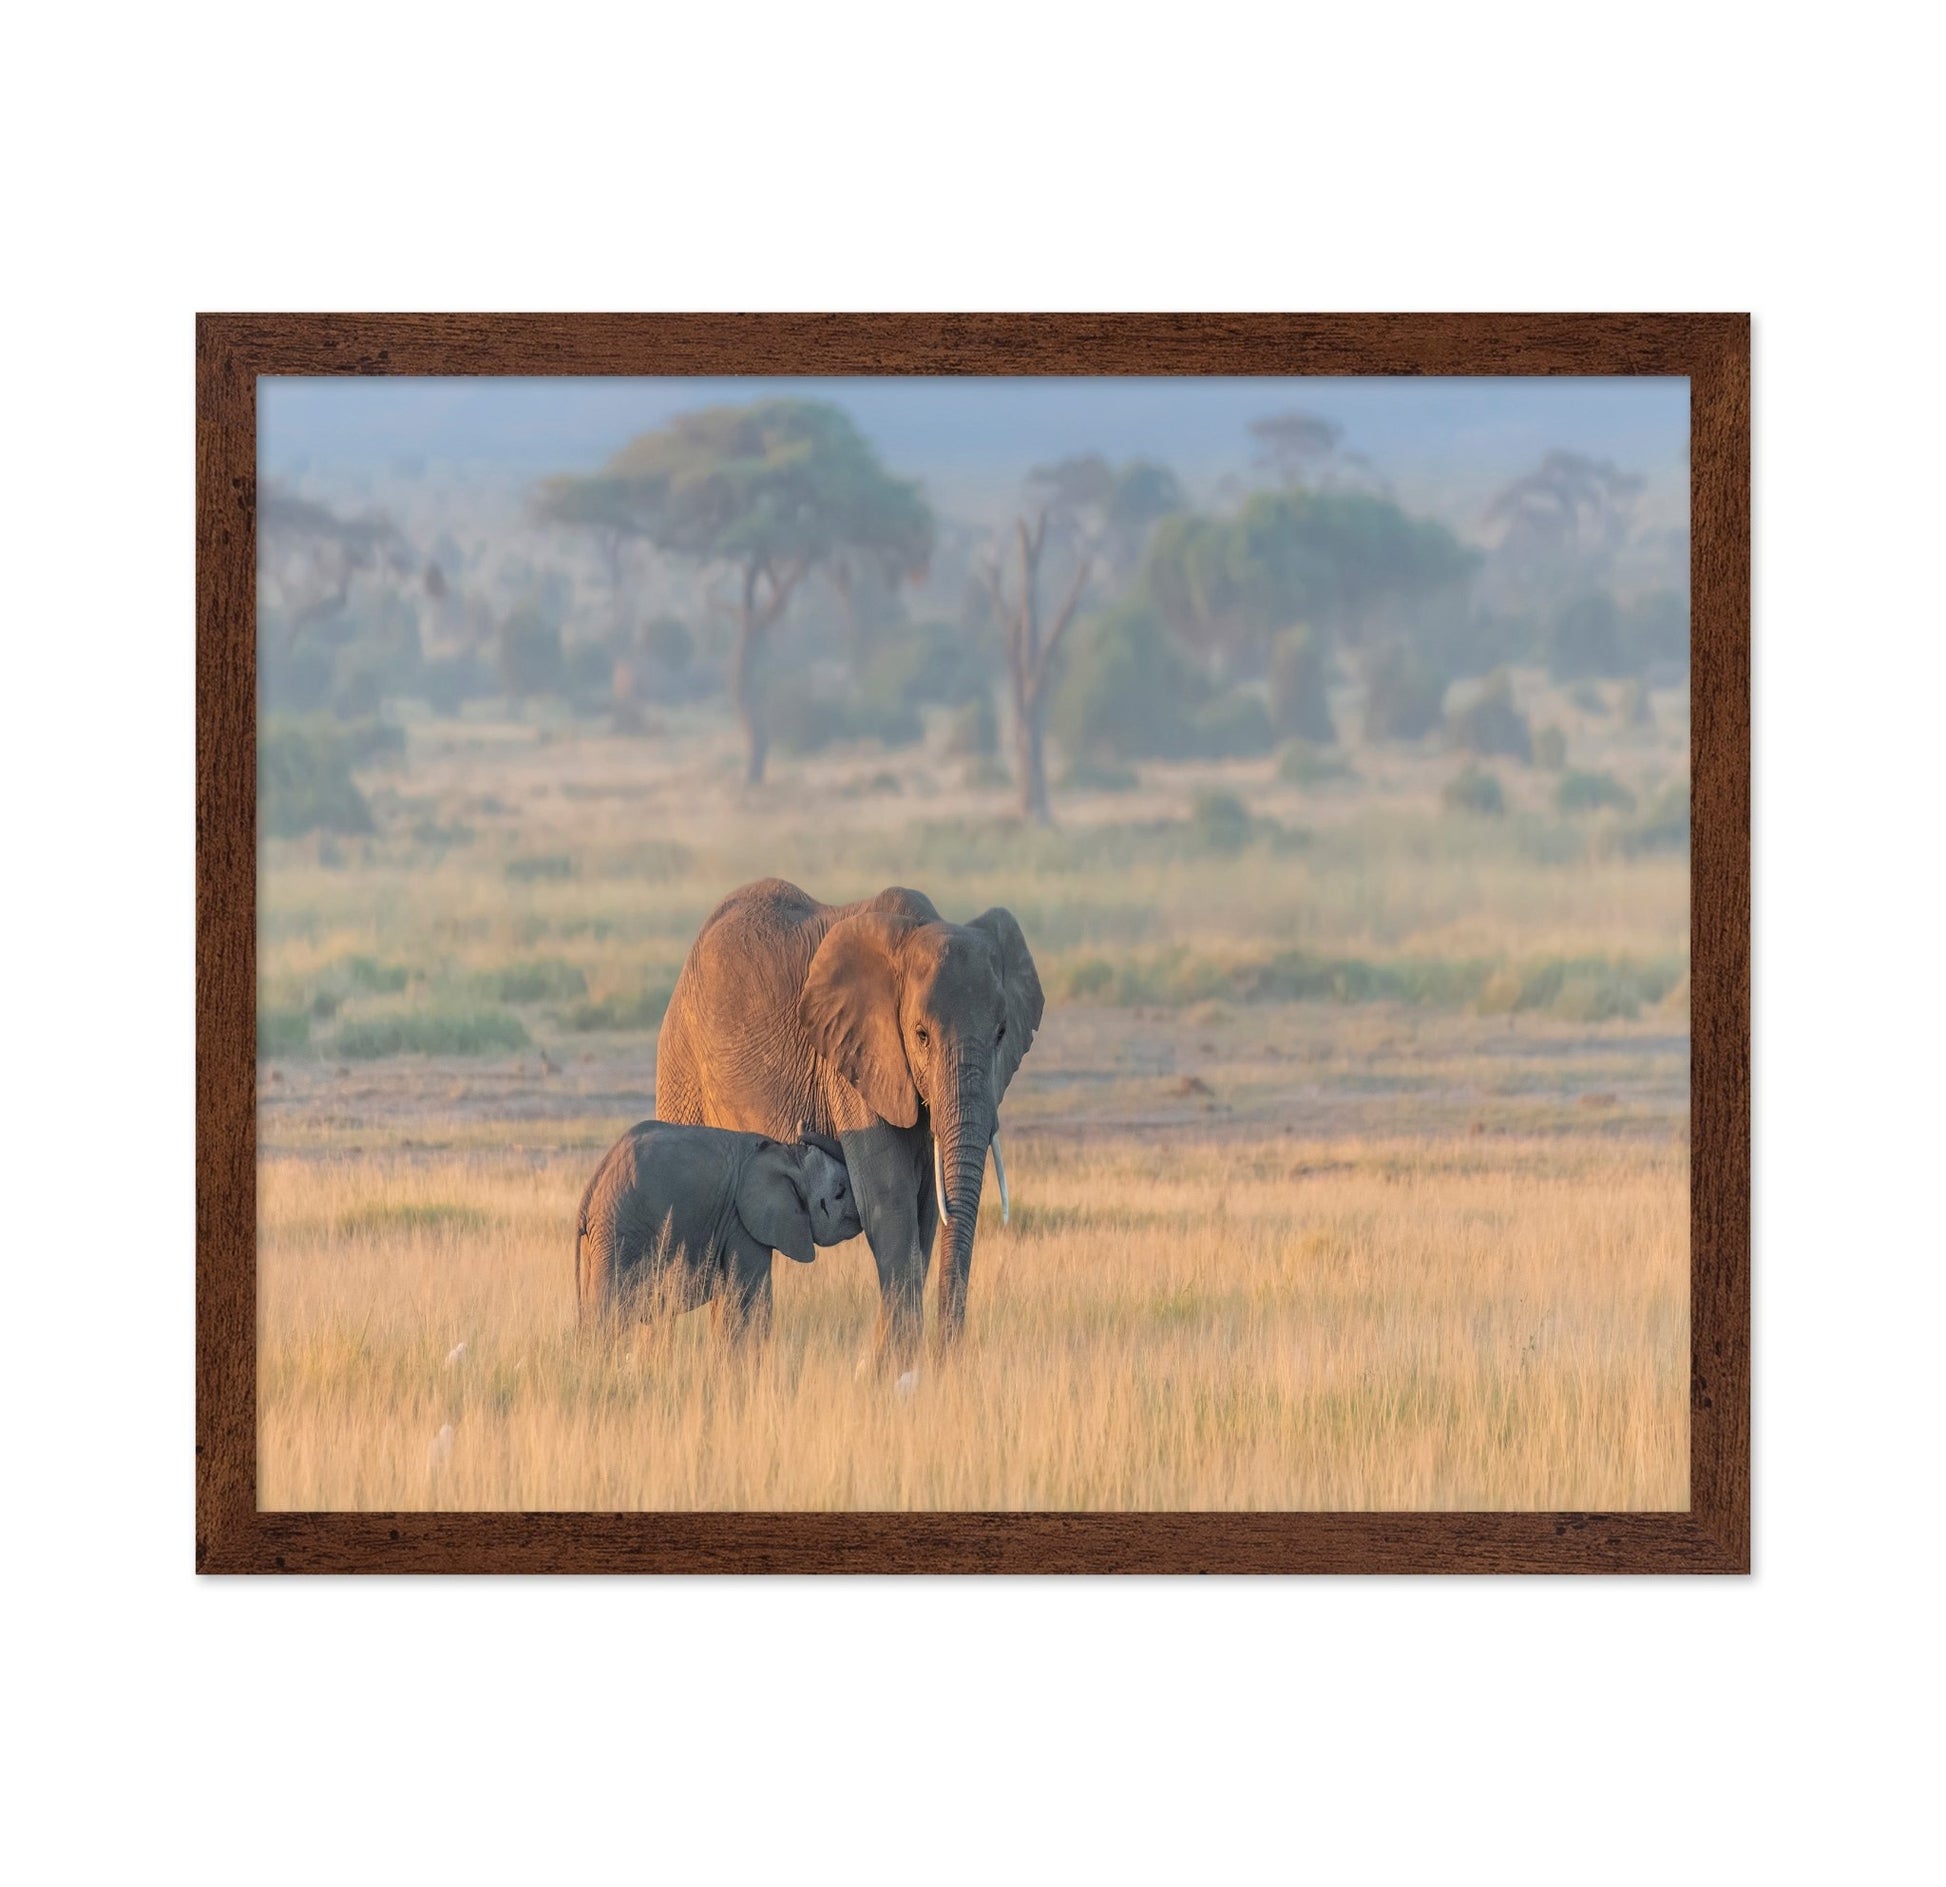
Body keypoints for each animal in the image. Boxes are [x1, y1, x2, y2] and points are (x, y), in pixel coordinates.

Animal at [574, 1120, 860, 1339]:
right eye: (840, 1192)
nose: (803, 1126)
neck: (789, 1157)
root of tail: (591, 1189)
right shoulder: (741, 1222)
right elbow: (752, 1298)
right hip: (621, 1232)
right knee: (607, 1315)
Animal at [655, 879, 1043, 1370]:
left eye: (1001, 1034)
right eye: (920, 1035)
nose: (947, 1358)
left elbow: (925, 1211)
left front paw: (887, 1367)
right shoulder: (853, 1058)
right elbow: (889, 1200)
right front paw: (894, 1368)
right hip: (681, 1060)